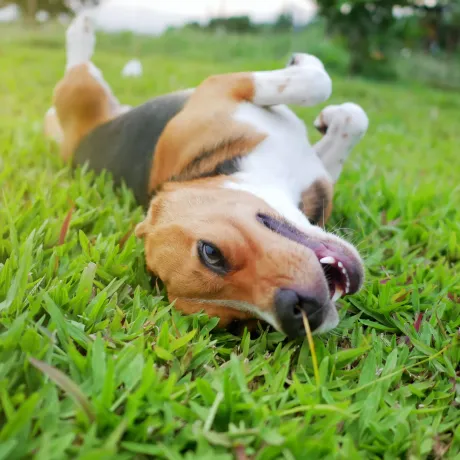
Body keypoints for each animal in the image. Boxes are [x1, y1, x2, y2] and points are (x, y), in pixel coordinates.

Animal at [45, 15, 370, 338]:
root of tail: (74, 144)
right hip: (80, 92)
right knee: (77, 66)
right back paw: (81, 30)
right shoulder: (222, 86)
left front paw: (327, 108)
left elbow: (345, 109)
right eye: (243, 324)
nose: (302, 314)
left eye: (210, 253)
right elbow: (323, 87)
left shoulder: (224, 88)